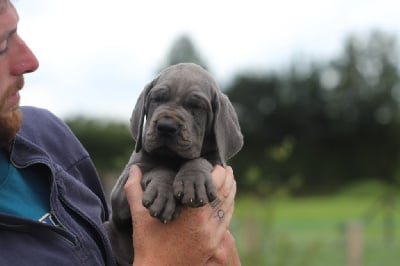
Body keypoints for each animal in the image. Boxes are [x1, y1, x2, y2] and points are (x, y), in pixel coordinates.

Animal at [104, 63, 244, 264]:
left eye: (197, 106)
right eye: (156, 99)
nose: (166, 126)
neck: (173, 159)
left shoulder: (218, 163)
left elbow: (199, 160)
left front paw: (193, 182)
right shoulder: (121, 192)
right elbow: (158, 169)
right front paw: (162, 195)